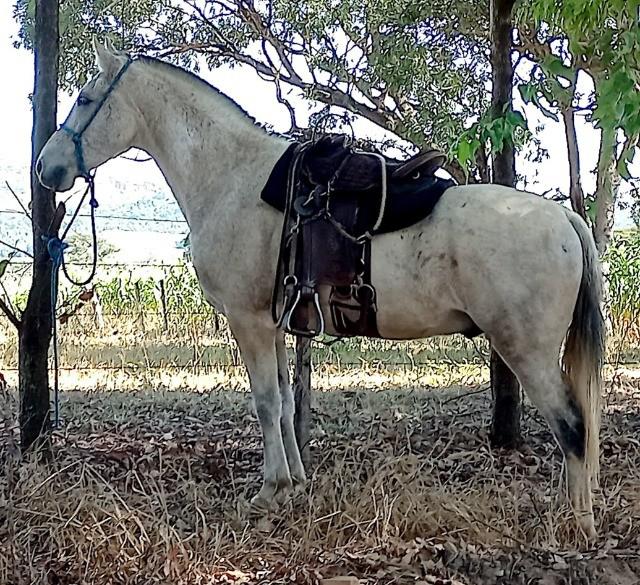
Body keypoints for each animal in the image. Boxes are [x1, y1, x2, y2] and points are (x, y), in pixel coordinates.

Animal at [36, 41, 604, 540]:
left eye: (84, 100)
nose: (46, 168)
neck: (232, 177)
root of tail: (563, 218)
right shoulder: (273, 323)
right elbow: (287, 401)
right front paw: (296, 483)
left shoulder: (247, 321)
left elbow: (266, 402)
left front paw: (271, 489)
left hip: (526, 350)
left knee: (573, 426)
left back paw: (577, 522)